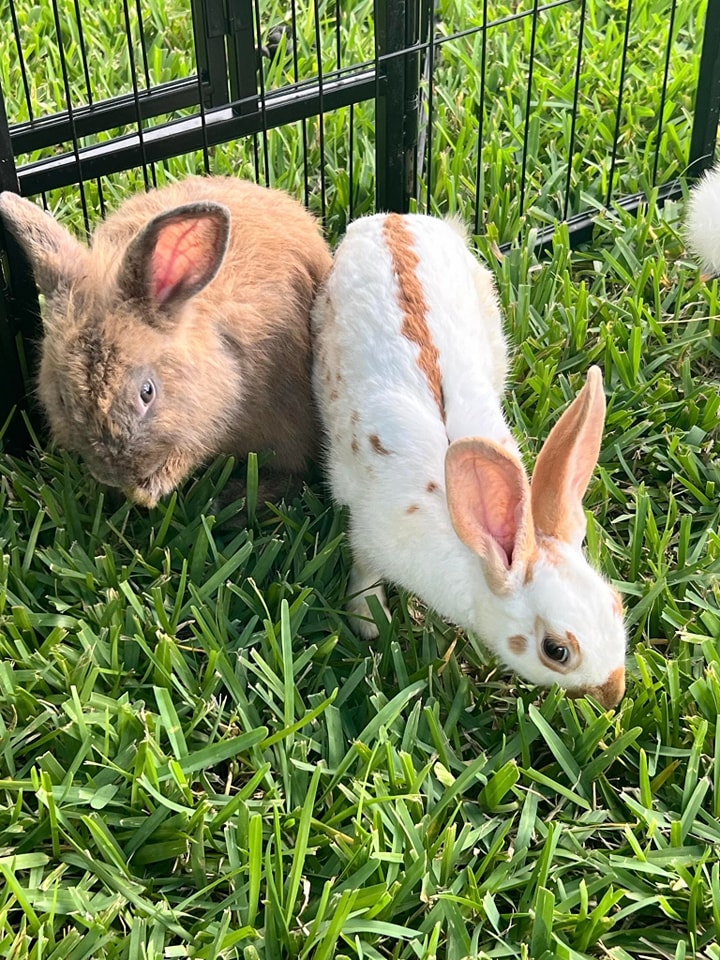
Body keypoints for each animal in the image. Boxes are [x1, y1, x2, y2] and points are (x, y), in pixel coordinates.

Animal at [312, 214, 628, 708]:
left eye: (615, 603)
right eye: (556, 650)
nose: (614, 692)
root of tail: (389, 219)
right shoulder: (367, 535)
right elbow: (364, 571)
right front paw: (367, 622)